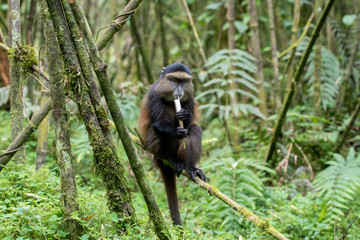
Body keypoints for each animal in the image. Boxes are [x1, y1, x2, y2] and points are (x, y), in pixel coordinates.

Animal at [138, 62, 205, 226]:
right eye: (174, 81)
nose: (179, 92)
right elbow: (159, 123)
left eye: (183, 82)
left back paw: (191, 168)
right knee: (160, 133)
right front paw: (177, 132)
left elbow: (188, 124)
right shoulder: (154, 96)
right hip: (153, 148)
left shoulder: (189, 98)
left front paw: (184, 116)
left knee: (195, 128)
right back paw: (171, 159)